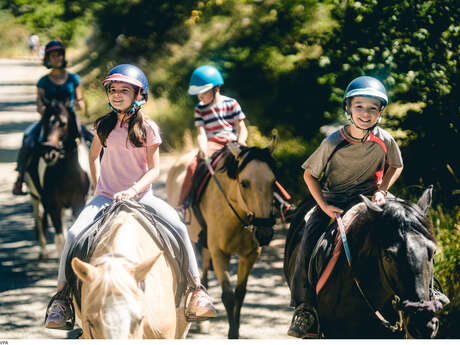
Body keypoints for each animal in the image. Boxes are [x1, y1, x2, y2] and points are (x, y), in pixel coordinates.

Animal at [23, 98, 90, 260]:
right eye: (44, 121)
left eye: (63, 123)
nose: (49, 153)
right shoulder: (53, 205)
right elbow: (60, 240)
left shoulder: (78, 202)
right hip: (35, 196)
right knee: (39, 219)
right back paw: (43, 252)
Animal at [167, 141, 278, 338]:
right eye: (244, 183)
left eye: (273, 182)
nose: (264, 232)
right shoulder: (219, 254)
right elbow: (228, 296)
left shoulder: (250, 256)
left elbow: (240, 294)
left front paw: (236, 331)